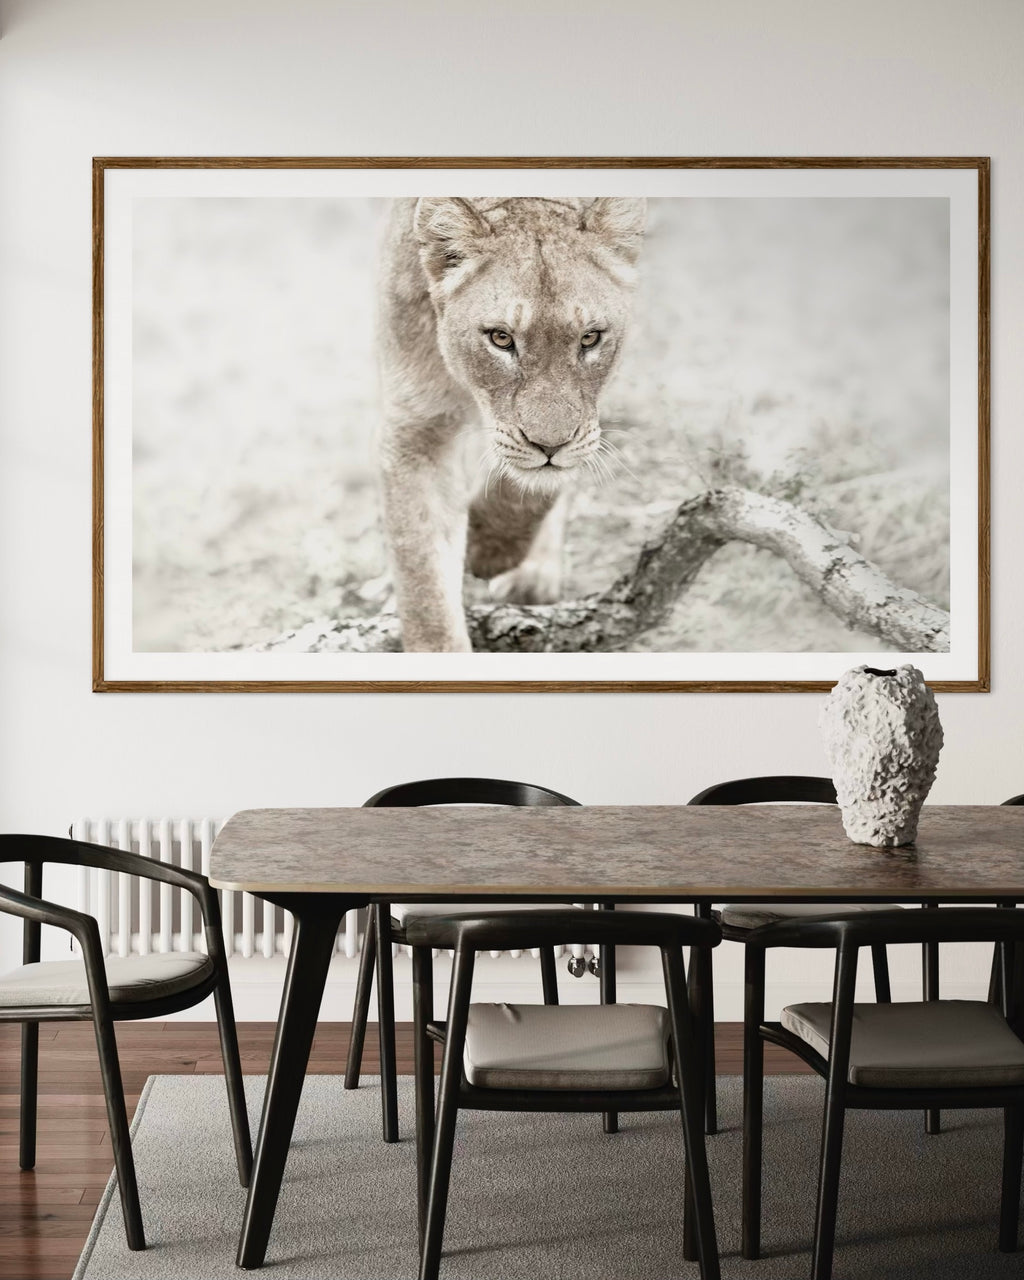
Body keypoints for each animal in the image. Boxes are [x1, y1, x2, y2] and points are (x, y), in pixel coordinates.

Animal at [377, 195, 647, 652]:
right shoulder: (419, 423)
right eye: (501, 338)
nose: (550, 447)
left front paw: (489, 548)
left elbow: (531, 483)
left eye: (590, 338)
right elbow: (423, 574)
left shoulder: (586, 416)